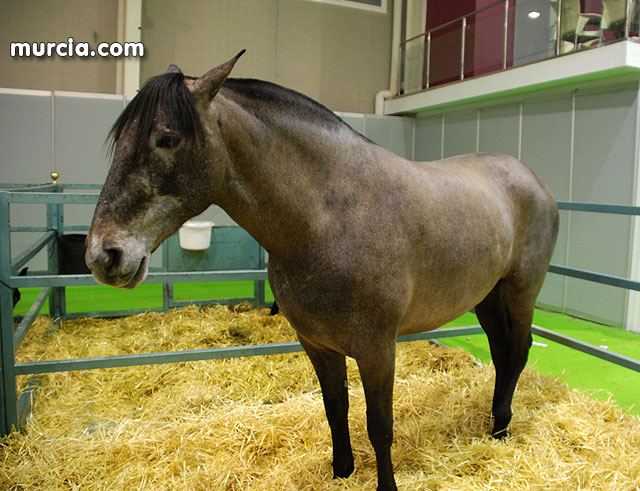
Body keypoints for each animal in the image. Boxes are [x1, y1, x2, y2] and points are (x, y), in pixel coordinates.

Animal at [84, 52, 556, 490]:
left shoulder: (377, 349)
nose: (102, 256)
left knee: (517, 351)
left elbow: (380, 426)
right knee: (501, 352)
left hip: (521, 291)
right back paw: (494, 422)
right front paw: (341, 471)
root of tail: (533, 178)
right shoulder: (317, 344)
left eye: (167, 138)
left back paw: (502, 428)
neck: (329, 217)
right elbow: (335, 409)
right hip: (488, 296)